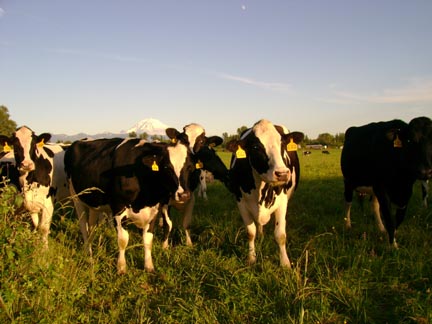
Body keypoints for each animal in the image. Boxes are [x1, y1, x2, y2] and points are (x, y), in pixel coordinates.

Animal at [64, 130, 194, 274]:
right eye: (167, 167)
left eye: (189, 167)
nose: (183, 195)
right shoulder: (118, 209)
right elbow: (123, 240)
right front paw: (121, 268)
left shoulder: (154, 210)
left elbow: (148, 239)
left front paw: (149, 266)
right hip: (76, 197)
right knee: (83, 227)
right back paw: (88, 254)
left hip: (94, 203)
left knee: (92, 227)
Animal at [226, 119, 304, 268]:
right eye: (256, 147)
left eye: (282, 144)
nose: (282, 174)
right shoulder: (240, 202)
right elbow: (250, 232)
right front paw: (251, 258)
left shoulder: (282, 202)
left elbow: (280, 235)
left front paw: (285, 263)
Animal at [340, 117, 432, 248]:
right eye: (409, 140)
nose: (425, 171)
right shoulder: (382, 188)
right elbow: (389, 216)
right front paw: (393, 246)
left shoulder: (407, 191)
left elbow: (399, 217)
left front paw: (392, 237)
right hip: (348, 181)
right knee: (348, 202)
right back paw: (347, 225)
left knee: (374, 205)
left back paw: (381, 228)